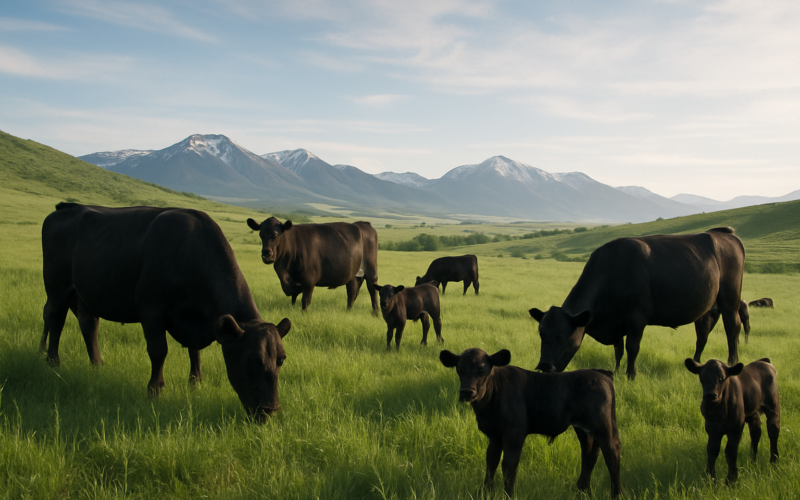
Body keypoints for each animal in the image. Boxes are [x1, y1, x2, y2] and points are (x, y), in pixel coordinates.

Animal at [41, 203, 290, 421]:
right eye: (253, 360)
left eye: (281, 359)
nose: (270, 410)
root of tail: (66, 207)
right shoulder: (151, 310)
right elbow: (159, 351)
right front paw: (155, 390)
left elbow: (194, 352)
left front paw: (195, 382)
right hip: (57, 286)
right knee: (55, 317)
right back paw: (53, 361)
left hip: (84, 294)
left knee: (88, 324)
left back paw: (97, 364)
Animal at [247, 217, 379, 314]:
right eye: (261, 235)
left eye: (274, 235)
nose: (266, 253)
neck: (284, 268)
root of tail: (364, 224)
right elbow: (293, 298)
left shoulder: (309, 280)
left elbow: (305, 301)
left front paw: (303, 314)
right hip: (353, 274)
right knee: (352, 292)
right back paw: (348, 312)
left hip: (371, 270)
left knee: (372, 289)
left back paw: (376, 313)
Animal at [440, 348, 621, 497]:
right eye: (459, 370)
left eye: (481, 370)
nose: (467, 392)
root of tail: (600, 373)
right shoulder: (495, 436)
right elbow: (491, 462)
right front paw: (485, 492)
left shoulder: (515, 432)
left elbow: (509, 464)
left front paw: (509, 495)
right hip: (584, 429)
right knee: (589, 453)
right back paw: (582, 490)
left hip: (604, 426)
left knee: (611, 452)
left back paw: (615, 493)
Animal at [529, 227, 745, 380]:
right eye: (541, 333)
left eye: (561, 335)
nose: (544, 366)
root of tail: (723, 234)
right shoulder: (616, 322)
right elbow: (618, 350)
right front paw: (616, 372)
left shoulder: (636, 319)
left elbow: (632, 348)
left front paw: (630, 375)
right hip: (707, 307)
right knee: (703, 332)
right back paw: (697, 363)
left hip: (730, 298)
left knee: (732, 328)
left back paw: (731, 362)